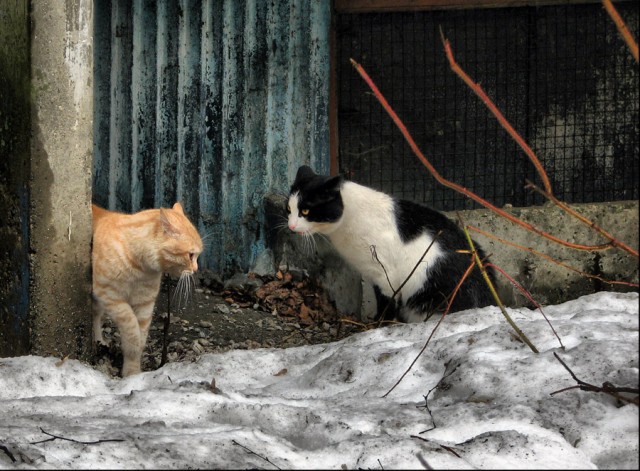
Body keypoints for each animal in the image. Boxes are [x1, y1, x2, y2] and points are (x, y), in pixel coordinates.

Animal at [92, 202, 202, 376]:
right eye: (191, 255)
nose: (196, 269)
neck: (139, 268)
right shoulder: (109, 296)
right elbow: (131, 326)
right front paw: (133, 348)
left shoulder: (145, 303)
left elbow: (141, 337)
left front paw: (133, 370)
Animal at [288, 166, 498, 324]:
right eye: (289, 209)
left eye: (305, 211)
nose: (290, 226)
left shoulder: (385, 275)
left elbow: (386, 305)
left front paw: (379, 325)